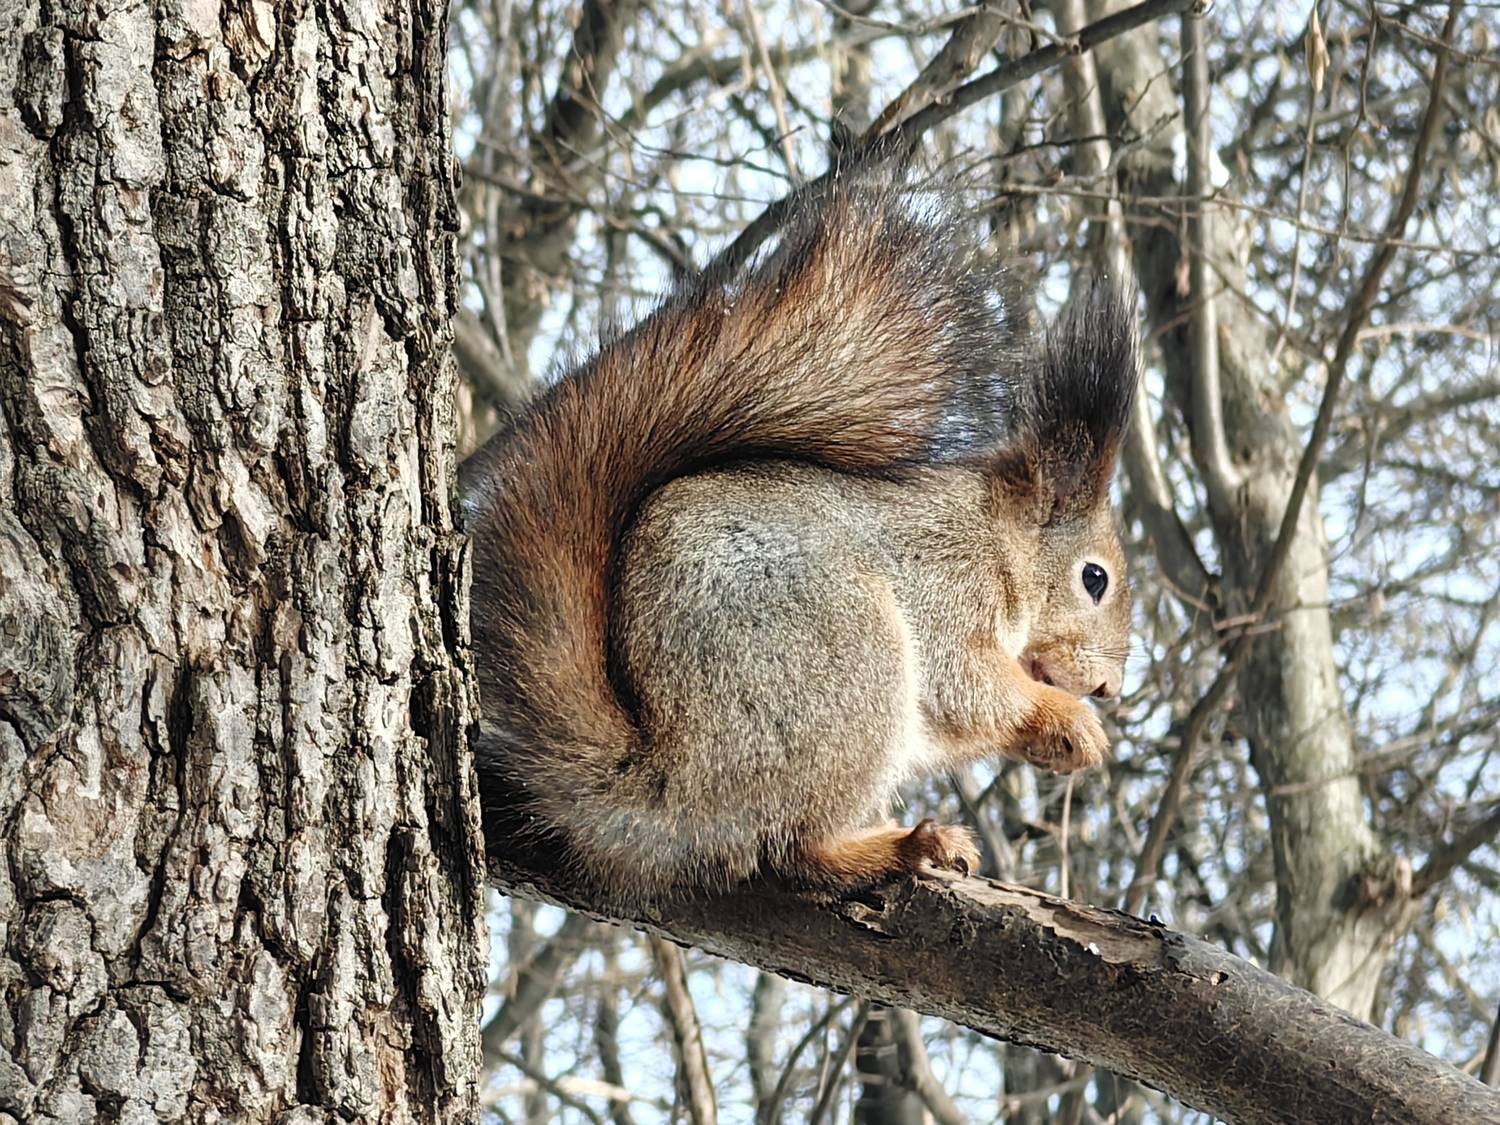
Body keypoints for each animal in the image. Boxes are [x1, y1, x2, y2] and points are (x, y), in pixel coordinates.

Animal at [461, 171, 1137, 900]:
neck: (1000, 543)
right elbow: (968, 683)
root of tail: (674, 784)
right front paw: (1070, 722)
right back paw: (903, 846)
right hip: (848, 665)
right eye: (1093, 578)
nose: (1108, 689)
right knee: (794, 847)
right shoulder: (947, 582)